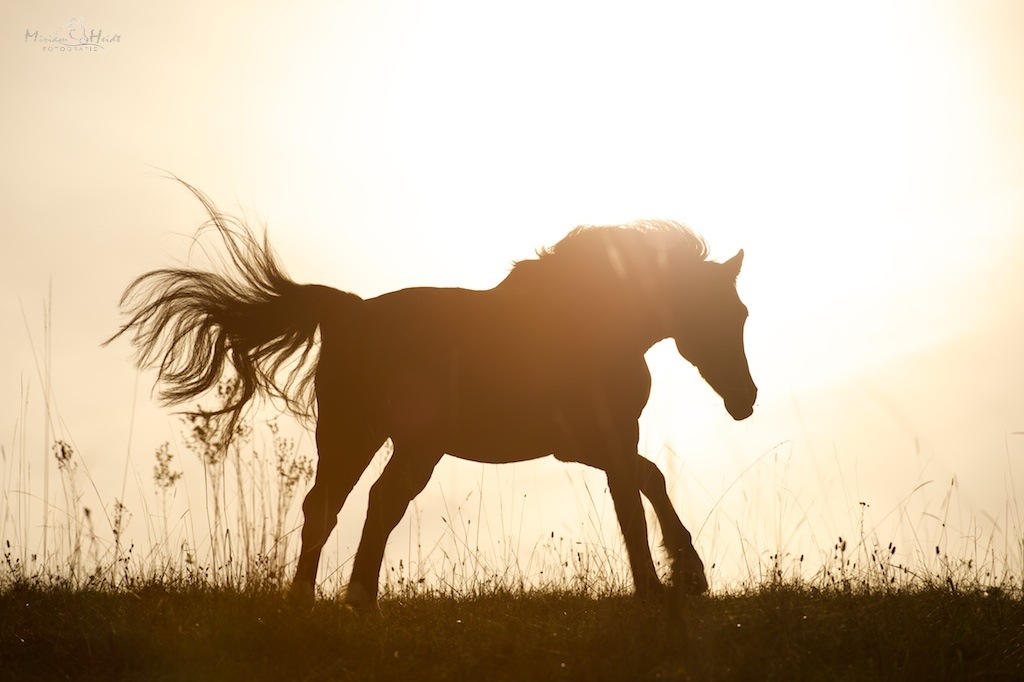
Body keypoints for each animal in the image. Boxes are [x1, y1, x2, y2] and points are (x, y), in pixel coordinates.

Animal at [108, 182, 757, 606]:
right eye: (730, 313)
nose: (746, 399)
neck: (589, 321)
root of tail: (348, 310)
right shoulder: (601, 438)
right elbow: (638, 496)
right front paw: (668, 584)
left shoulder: (587, 445)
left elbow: (646, 482)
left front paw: (683, 577)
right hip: (384, 439)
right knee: (364, 504)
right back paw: (346, 599)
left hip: (374, 438)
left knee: (343, 506)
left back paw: (330, 601)